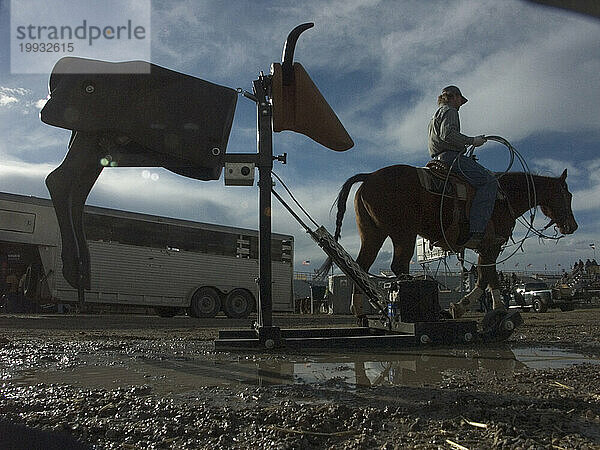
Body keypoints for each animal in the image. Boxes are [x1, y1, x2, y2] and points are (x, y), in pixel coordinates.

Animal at [328, 165, 576, 320]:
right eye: (568, 195)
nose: (572, 226)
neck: (504, 196)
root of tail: (369, 176)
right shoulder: (492, 244)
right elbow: (488, 276)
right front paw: (493, 308)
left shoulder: (484, 246)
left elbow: (485, 276)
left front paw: (467, 306)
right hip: (404, 233)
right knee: (398, 265)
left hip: (373, 234)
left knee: (360, 266)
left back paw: (360, 310)